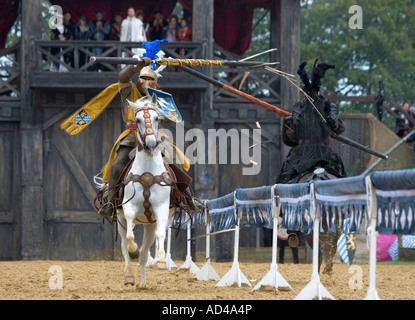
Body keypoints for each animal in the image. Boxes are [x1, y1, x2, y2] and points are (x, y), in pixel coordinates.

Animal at [117, 94, 174, 286]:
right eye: (138, 119)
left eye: (157, 118)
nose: (150, 143)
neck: (147, 172)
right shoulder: (127, 208)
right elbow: (129, 239)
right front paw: (133, 249)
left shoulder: (161, 208)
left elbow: (161, 234)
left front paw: (162, 261)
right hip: (119, 221)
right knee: (124, 245)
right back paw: (129, 275)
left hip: (149, 224)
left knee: (145, 252)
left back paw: (142, 283)